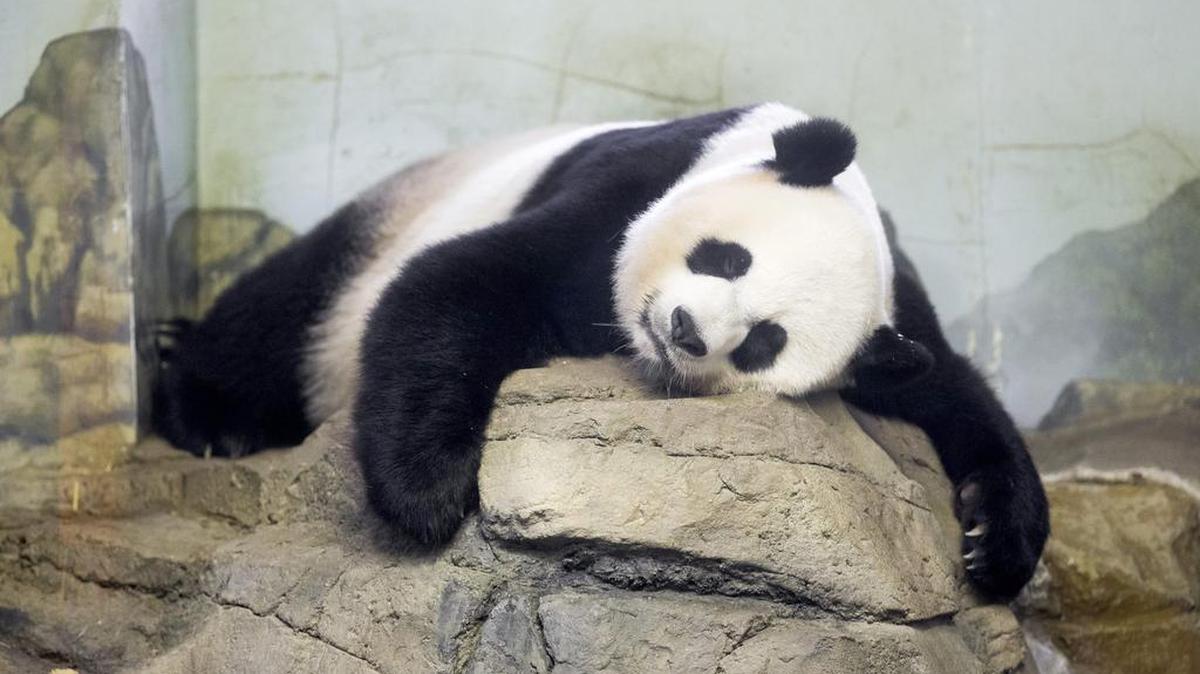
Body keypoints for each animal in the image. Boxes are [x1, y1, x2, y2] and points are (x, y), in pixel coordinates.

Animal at [155, 103, 1049, 598]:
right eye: (728, 258)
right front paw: (430, 493)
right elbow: (461, 281)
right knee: (286, 308)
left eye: (764, 343)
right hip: (379, 231)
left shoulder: (895, 315)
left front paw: (995, 544)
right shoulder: (634, 182)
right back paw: (210, 414)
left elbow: (955, 392)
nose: (686, 329)